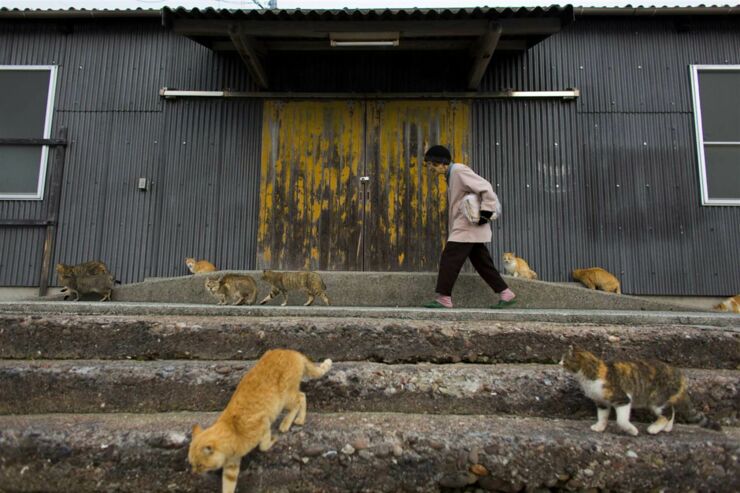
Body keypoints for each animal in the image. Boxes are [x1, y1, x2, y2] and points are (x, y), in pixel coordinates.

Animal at [188, 346, 332, 492]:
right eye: (192, 464)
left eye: (200, 465)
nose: (194, 473)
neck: (233, 430)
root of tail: (292, 352)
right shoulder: (231, 467)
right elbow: (228, 486)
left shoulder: (264, 422)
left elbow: (263, 446)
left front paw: (272, 440)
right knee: (302, 396)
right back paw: (300, 419)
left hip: (286, 397)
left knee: (300, 398)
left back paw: (290, 422)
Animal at [560, 346, 716, 434]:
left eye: (565, 360)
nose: (559, 362)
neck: (592, 373)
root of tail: (680, 376)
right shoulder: (602, 402)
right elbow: (602, 416)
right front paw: (599, 427)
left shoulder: (622, 399)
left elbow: (621, 420)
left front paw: (632, 430)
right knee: (671, 411)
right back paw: (666, 428)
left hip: (657, 399)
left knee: (666, 413)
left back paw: (654, 429)